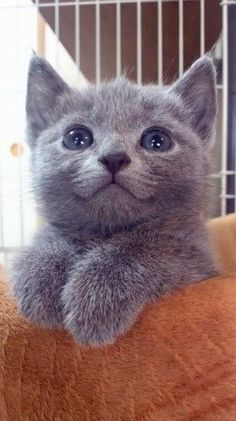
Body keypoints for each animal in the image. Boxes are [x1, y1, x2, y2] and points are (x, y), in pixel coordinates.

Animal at [11, 54, 218, 346]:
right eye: (77, 138)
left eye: (157, 141)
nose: (114, 157)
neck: (107, 232)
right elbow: (49, 240)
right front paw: (42, 273)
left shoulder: (199, 258)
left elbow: (149, 248)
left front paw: (97, 294)